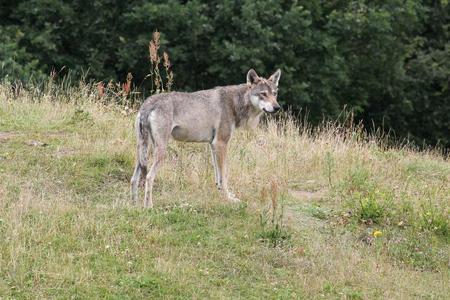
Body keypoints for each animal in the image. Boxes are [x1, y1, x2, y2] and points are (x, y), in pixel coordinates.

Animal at [128, 69, 282, 207]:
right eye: (263, 94)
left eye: (274, 94)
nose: (277, 107)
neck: (235, 103)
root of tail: (147, 104)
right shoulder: (221, 143)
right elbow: (224, 175)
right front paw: (228, 198)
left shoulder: (213, 145)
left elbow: (218, 176)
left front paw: (221, 194)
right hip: (160, 151)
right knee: (149, 177)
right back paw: (148, 206)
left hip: (143, 151)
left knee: (133, 179)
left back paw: (134, 205)